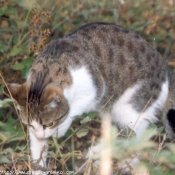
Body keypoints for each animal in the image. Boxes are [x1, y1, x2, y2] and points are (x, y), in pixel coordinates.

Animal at [3, 22, 175, 172]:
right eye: (30, 125)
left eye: (50, 123)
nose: (41, 134)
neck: (46, 70)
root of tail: (166, 69)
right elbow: (37, 151)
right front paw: (39, 167)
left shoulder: (95, 89)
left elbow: (73, 109)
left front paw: (61, 129)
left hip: (130, 109)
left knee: (137, 138)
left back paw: (127, 164)